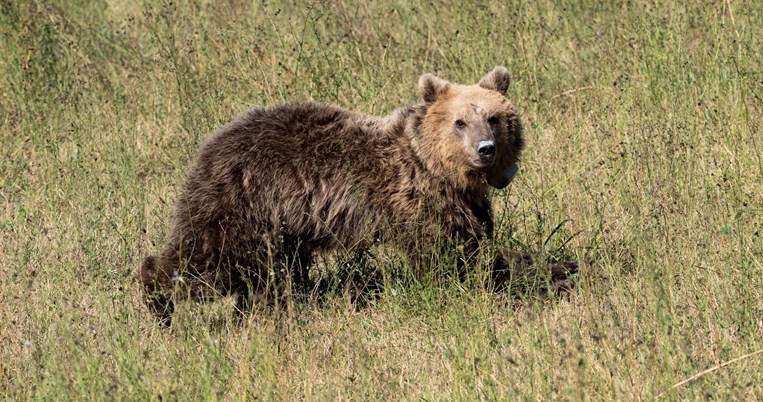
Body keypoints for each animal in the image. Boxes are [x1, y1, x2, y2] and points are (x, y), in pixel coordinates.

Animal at [140, 66, 576, 324]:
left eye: (494, 117)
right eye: (460, 121)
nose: (485, 148)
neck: (440, 170)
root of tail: (210, 144)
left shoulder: (468, 205)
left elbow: (480, 247)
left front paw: (560, 267)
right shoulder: (418, 202)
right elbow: (454, 260)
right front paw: (546, 275)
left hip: (281, 226)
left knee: (271, 275)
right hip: (244, 206)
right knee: (207, 262)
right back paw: (159, 303)